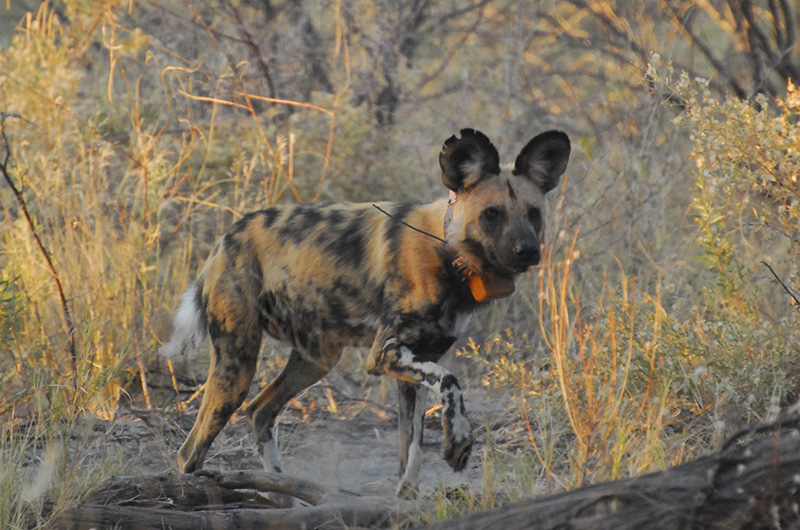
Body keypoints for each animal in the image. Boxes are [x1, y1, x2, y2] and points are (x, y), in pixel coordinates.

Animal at [162, 128, 572, 496]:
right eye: (492, 214)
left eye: (534, 213)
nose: (528, 251)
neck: (450, 257)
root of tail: (225, 238)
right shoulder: (386, 353)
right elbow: (451, 383)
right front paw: (457, 442)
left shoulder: (418, 362)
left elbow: (411, 451)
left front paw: (406, 502)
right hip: (237, 366)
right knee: (190, 450)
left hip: (316, 360)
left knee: (260, 411)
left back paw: (280, 490)